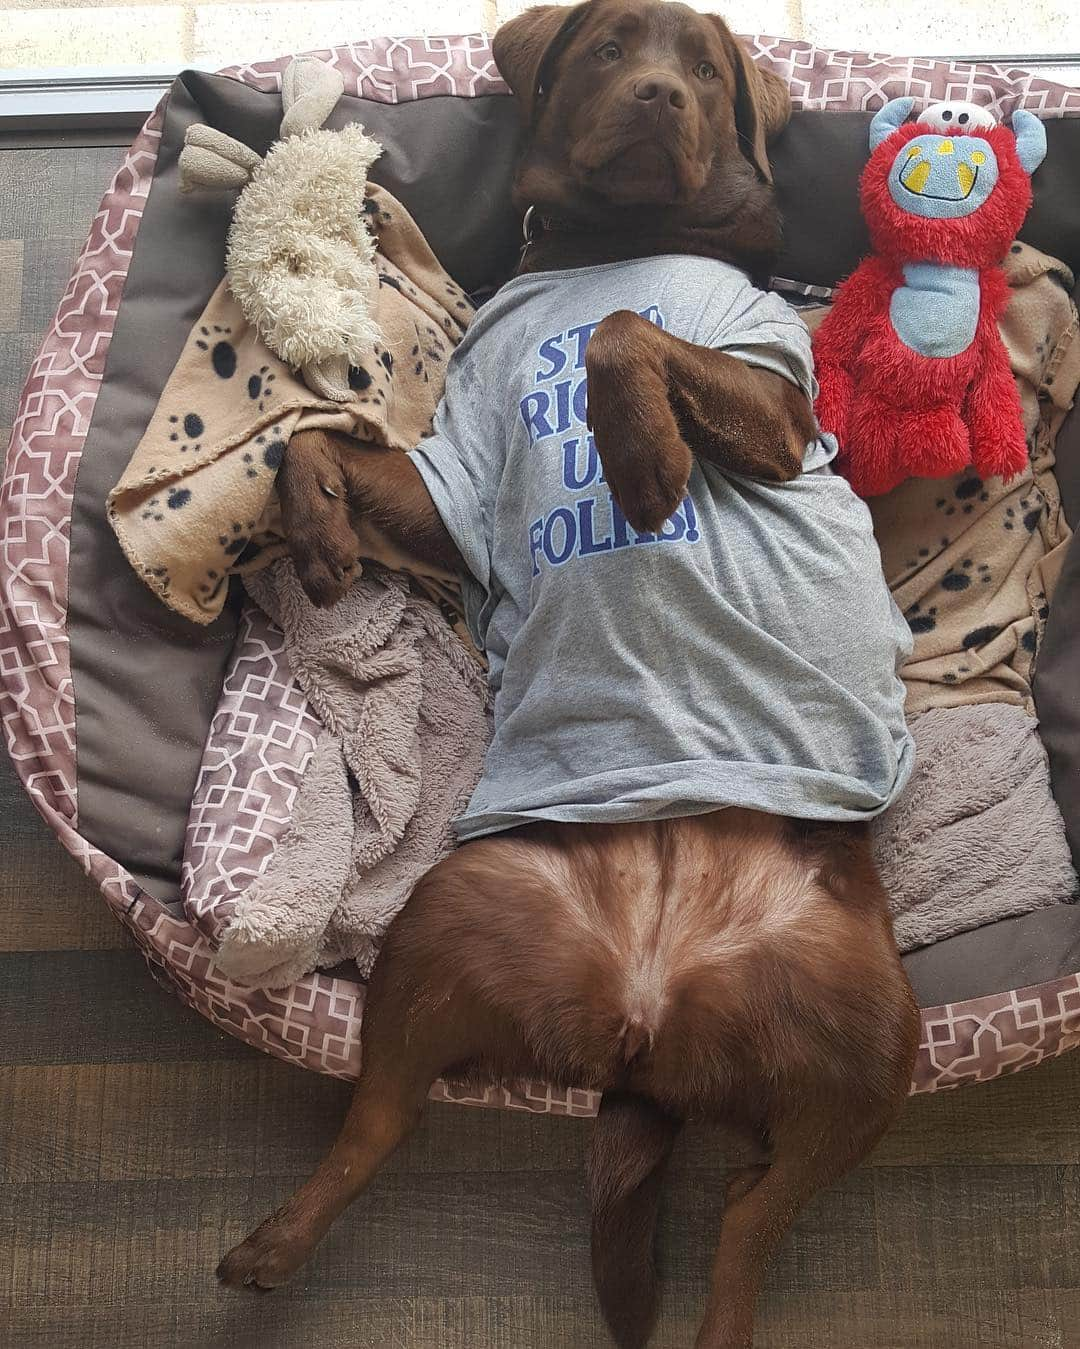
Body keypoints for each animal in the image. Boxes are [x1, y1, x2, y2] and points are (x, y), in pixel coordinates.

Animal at [218, 5, 916, 1343]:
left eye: (702, 69)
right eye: (608, 50)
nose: (656, 96)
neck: (622, 242)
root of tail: (646, 1025)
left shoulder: (773, 399)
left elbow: (628, 332)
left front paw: (642, 463)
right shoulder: (456, 477)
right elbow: (313, 436)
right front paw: (321, 534)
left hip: (876, 1045)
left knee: (749, 1224)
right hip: (452, 919)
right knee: (381, 1115)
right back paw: (273, 1240)